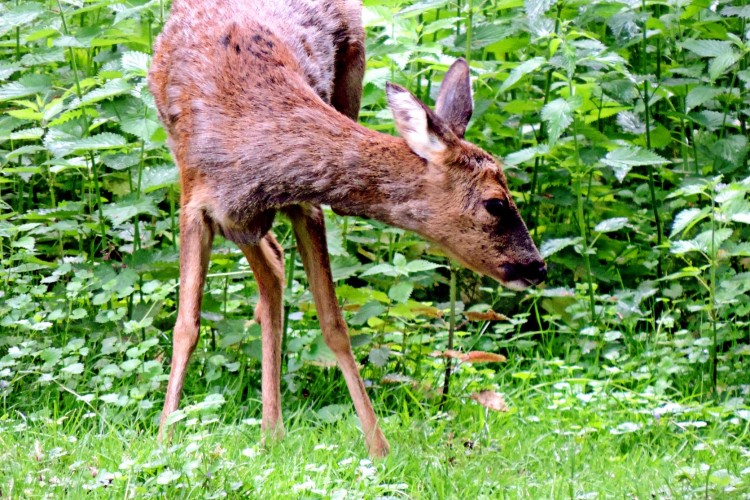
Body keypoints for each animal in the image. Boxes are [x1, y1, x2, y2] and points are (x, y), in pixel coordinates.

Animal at [147, 0, 548, 458]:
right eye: (496, 203)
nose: (537, 267)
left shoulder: (303, 205)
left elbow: (334, 326)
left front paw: (378, 446)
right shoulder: (195, 203)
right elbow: (185, 327)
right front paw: (163, 439)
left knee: (273, 270)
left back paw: (272, 430)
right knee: (271, 269)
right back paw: (270, 429)